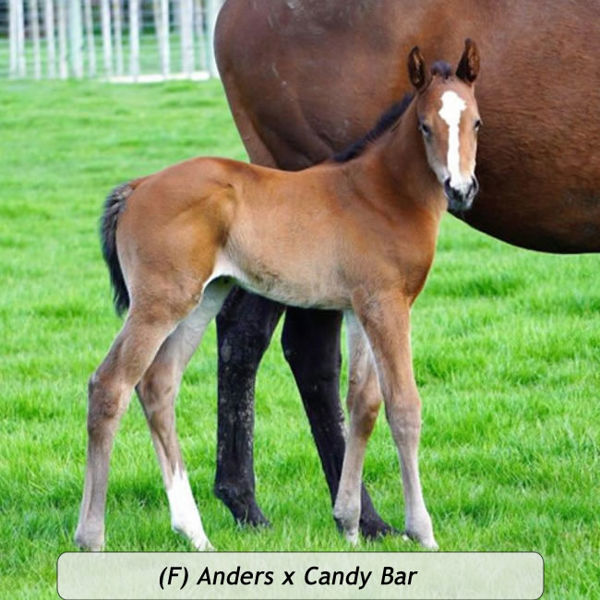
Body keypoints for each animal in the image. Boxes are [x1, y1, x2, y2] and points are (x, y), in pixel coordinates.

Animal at [74, 39, 482, 552]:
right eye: (426, 126)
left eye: (476, 123)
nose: (461, 189)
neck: (383, 194)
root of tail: (138, 186)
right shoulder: (388, 306)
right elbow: (403, 406)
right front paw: (421, 531)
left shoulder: (360, 307)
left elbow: (362, 404)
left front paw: (350, 523)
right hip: (158, 303)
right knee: (110, 385)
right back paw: (92, 536)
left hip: (201, 299)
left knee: (158, 386)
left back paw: (195, 532)